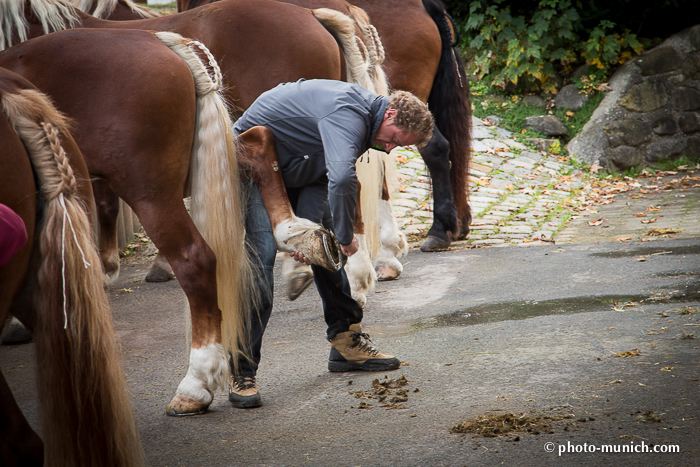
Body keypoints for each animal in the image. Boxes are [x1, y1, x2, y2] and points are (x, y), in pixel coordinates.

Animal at [0, 28, 340, 416]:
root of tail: (163, 41)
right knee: (258, 142)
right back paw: (297, 235)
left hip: (148, 189)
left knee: (196, 259)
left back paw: (195, 383)